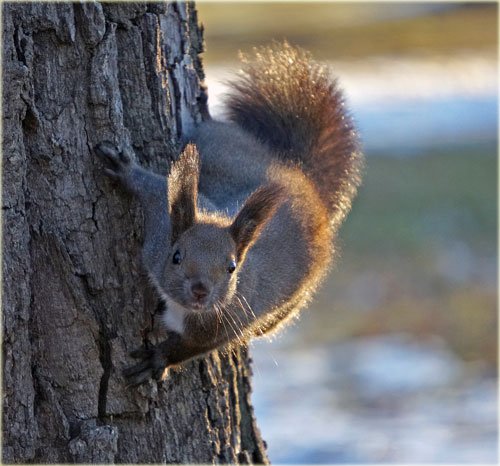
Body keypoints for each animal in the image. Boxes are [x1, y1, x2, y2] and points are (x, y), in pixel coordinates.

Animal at [94, 42, 364, 386]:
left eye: (232, 267)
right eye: (176, 256)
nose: (200, 290)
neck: (184, 309)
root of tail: (303, 177)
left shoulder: (226, 323)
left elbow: (191, 347)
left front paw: (158, 358)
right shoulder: (161, 227)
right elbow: (155, 188)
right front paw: (126, 171)